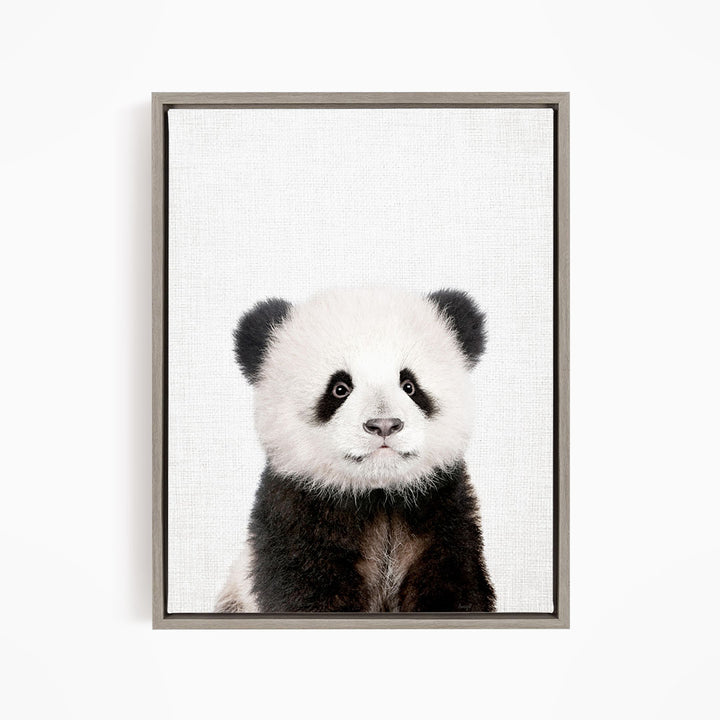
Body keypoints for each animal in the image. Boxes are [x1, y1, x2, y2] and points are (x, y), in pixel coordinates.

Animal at [216, 287, 496, 613]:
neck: (379, 495)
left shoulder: (441, 509)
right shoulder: (297, 513)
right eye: (340, 388)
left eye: (409, 385)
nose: (384, 425)